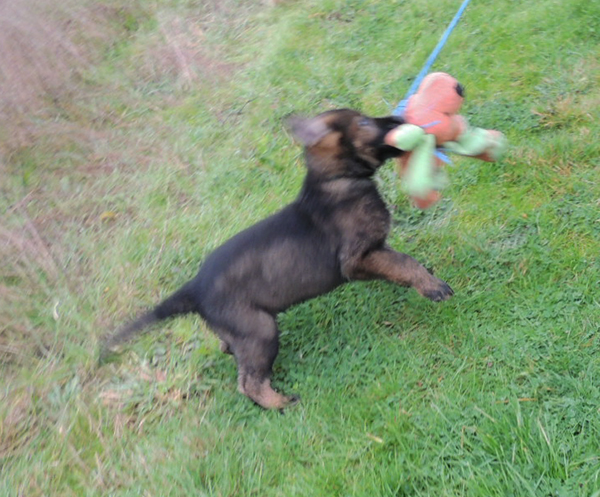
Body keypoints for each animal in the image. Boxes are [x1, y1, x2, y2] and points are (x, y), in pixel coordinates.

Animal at [103, 110, 452, 408]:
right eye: (364, 123)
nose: (401, 119)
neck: (334, 180)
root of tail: (195, 287)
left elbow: (398, 263)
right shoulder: (356, 259)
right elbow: (404, 262)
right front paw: (431, 286)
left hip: (241, 331)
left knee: (231, 351)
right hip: (261, 330)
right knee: (248, 382)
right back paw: (280, 403)